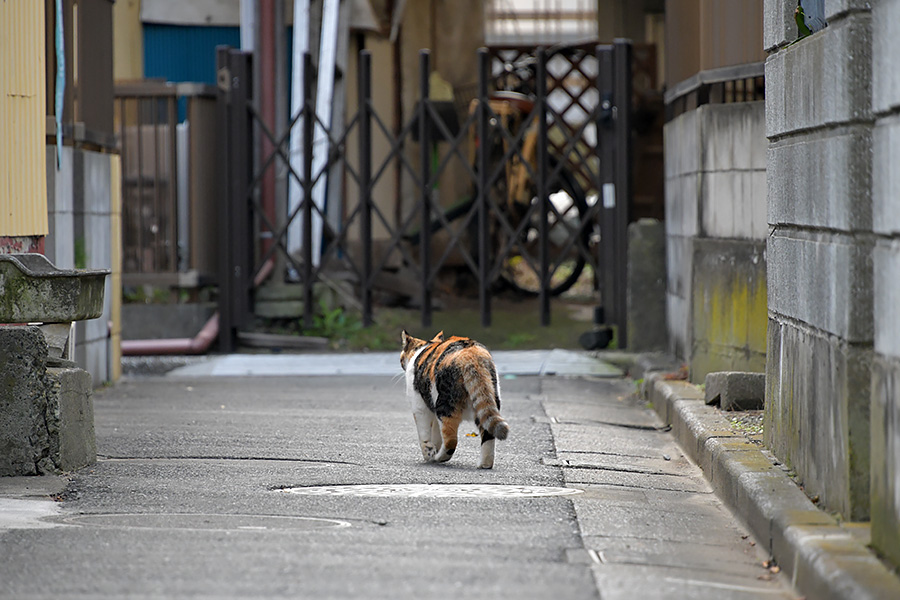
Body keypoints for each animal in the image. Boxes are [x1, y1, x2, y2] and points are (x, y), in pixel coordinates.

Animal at [400, 332, 506, 468]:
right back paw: (484, 464)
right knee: (488, 435)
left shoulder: (420, 407)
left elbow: (424, 436)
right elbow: (436, 434)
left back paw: (439, 458)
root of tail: (470, 354)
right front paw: (434, 448)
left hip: (445, 406)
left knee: (451, 441)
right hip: (485, 403)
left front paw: (429, 454)